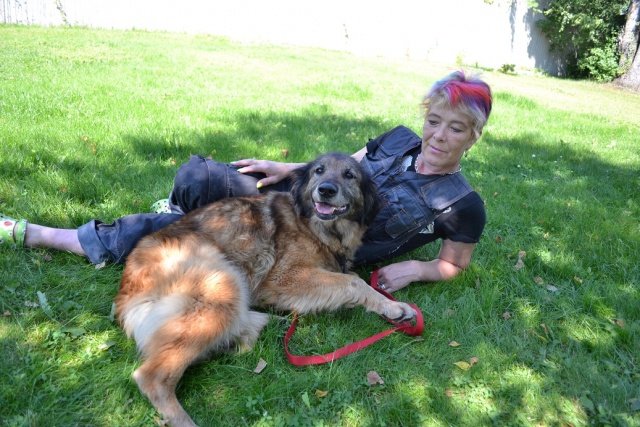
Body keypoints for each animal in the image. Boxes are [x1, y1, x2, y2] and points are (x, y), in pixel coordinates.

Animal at [114, 152, 417, 427]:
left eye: (349, 175)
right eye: (319, 171)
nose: (326, 190)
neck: (312, 224)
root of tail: (128, 288)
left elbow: (352, 278)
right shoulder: (283, 278)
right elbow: (353, 282)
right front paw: (394, 307)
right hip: (222, 281)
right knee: (151, 376)